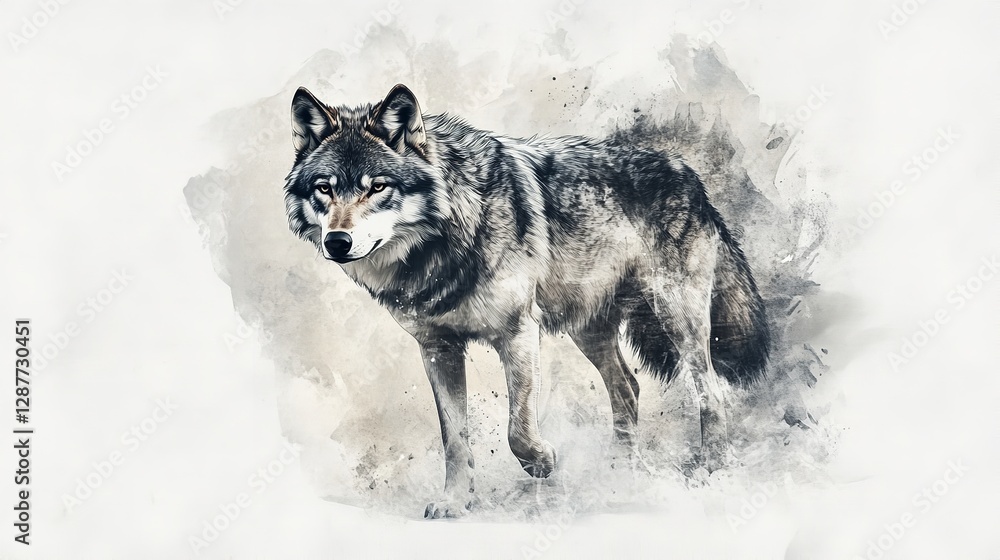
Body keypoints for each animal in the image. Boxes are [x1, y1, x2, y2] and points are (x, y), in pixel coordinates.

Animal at [283, 84, 769, 518]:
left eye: (378, 186)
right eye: (324, 188)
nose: (337, 241)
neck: (445, 244)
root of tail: (689, 174)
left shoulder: (517, 332)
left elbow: (517, 429)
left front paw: (542, 463)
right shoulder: (438, 349)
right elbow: (454, 439)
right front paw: (455, 503)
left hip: (677, 318)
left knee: (710, 390)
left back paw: (710, 469)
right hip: (587, 330)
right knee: (628, 388)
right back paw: (619, 474)